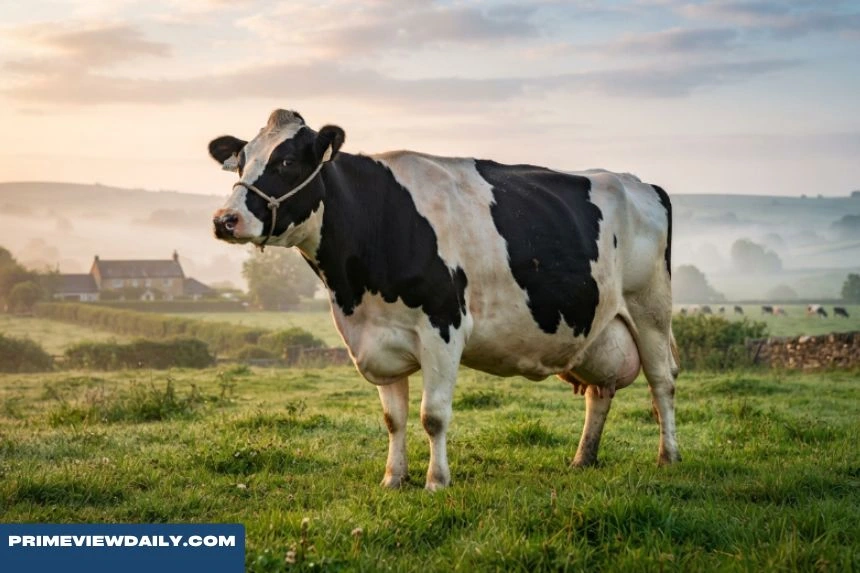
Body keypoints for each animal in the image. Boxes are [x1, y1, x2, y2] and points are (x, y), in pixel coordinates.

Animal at [208, 109, 680, 490]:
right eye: (242, 161)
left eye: (287, 161)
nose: (224, 219)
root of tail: (641, 183)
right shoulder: (377, 337)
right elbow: (393, 419)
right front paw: (393, 479)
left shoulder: (442, 326)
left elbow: (432, 415)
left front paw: (436, 481)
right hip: (600, 326)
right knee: (600, 391)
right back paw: (583, 459)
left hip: (650, 309)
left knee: (663, 382)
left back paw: (669, 456)